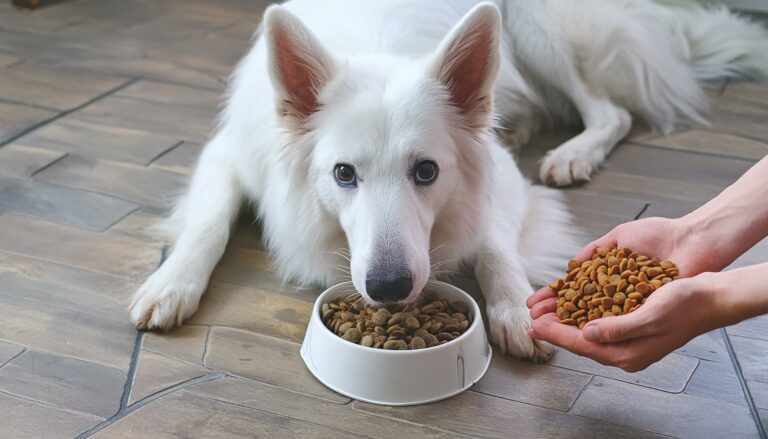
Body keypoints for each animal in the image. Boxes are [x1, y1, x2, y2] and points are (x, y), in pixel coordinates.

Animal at [132, 0, 768, 360]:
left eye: (426, 171)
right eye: (343, 174)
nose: (389, 287)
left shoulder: (500, 174)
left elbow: (492, 243)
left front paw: (513, 309)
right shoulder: (229, 153)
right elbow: (209, 224)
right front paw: (171, 283)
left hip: (536, 30)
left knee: (611, 111)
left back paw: (573, 153)